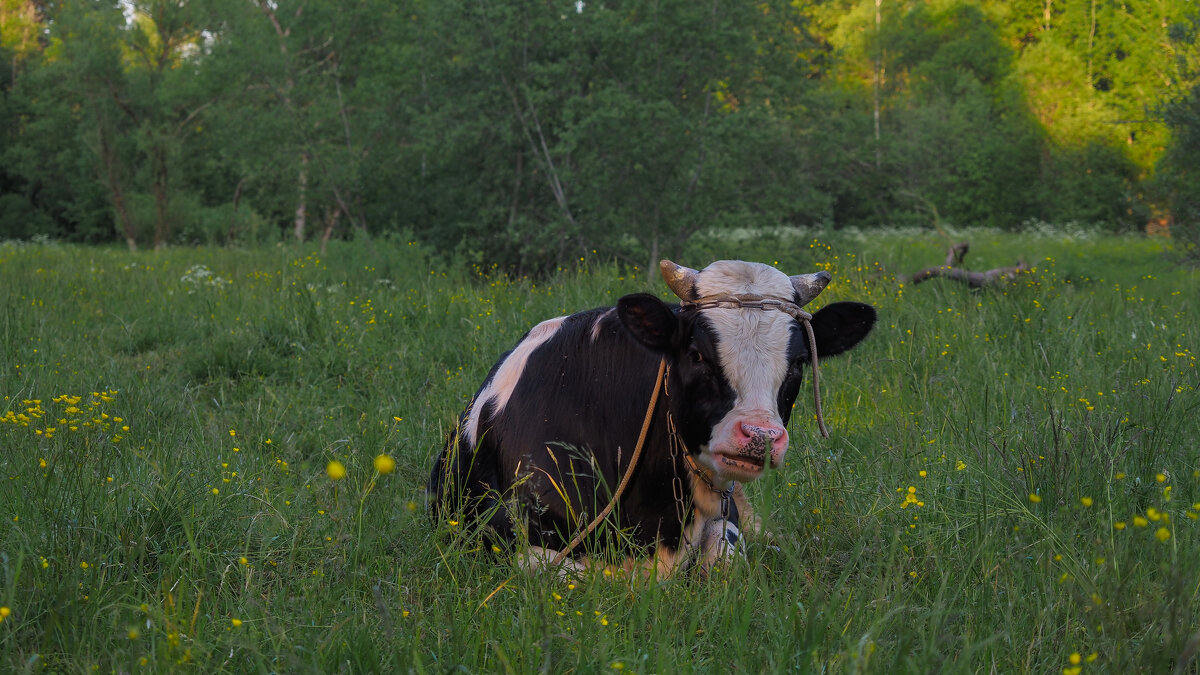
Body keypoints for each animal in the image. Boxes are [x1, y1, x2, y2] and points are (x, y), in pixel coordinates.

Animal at [427, 255, 878, 571]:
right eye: (695, 355)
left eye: (799, 362)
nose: (761, 437)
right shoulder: (517, 540)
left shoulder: (724, 517)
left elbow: (725, 563)